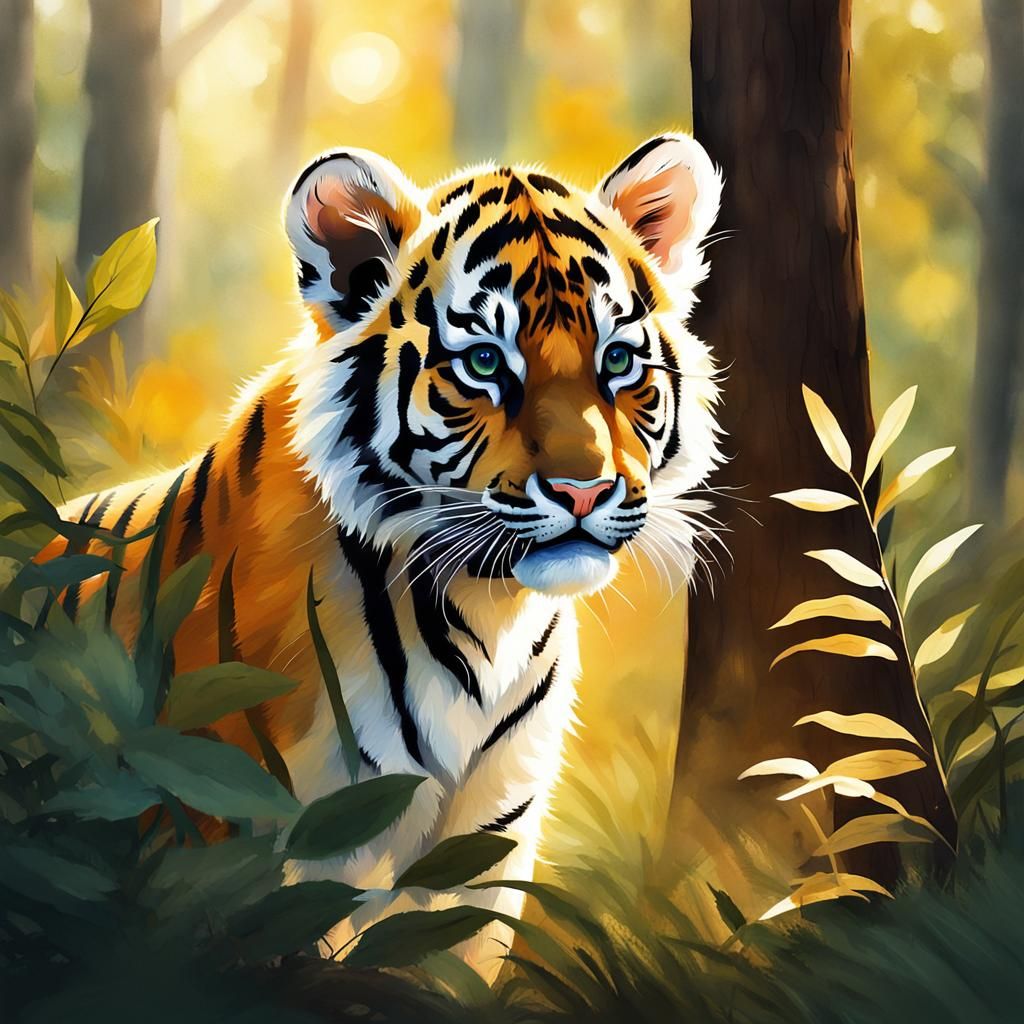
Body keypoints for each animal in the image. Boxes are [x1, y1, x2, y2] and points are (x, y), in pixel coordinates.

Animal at [40, 133, 724, 980]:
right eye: (485, 364)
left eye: (620, 361)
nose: (584, 490)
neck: (484, 613)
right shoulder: (266, 836)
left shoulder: (484, 846)